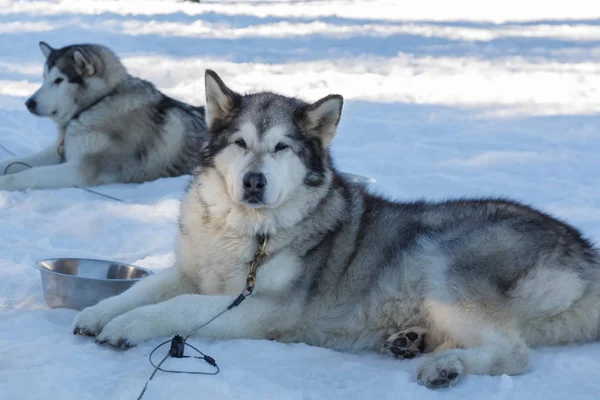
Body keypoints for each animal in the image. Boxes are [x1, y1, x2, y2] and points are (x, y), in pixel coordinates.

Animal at [0, 41, 206, 191]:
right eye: (44, 78)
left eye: (59, 80)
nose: (29, 103)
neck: (98, 103)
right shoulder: (58, 152)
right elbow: (11, 162)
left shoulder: (83, 169)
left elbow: (29, 174)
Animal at [74, 70, 600, 390]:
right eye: (240, 143)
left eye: (282, 147)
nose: (253, 181)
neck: (248, 230)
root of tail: (584, 250)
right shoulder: (190, 270)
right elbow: (143, 289)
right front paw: (100, 313)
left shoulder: (263, 309)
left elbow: (178, 306)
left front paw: (128, 326)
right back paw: (411, 342)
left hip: (439, 257)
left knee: (515, 353)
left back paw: (444, 367)